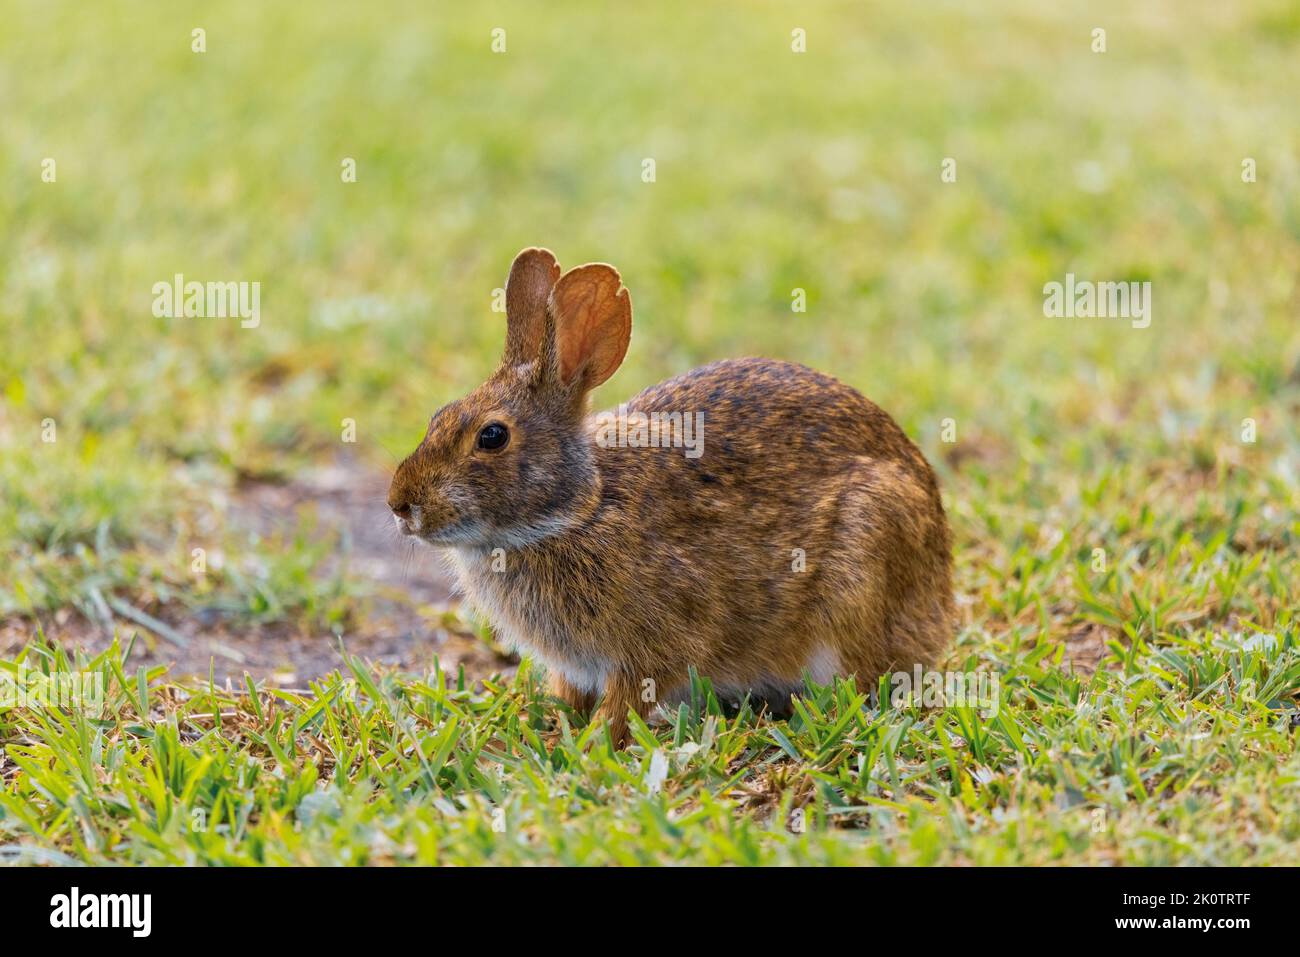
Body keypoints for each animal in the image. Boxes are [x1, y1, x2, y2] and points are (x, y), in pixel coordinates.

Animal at [388, 247, 954, 746]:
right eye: (438, 416)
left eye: (492, 437)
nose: (400, 506)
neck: (580, 508)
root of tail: (941, 604)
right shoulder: (575, 665)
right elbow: (569, 693)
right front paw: (544, 727)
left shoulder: (653, 647)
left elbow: (627, 701)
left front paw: (587, 746)